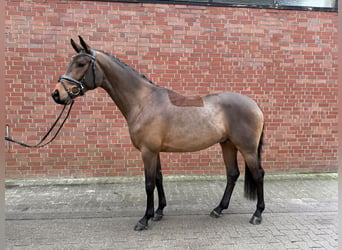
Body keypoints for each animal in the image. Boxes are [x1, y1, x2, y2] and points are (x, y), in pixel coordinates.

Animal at [51, 36, 264, 231]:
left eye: (81, 63)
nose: (57, 94)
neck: (143, 101)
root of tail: (255, 104)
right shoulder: (155, 151)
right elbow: (159, 179)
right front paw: (159, 212)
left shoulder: (148, 151)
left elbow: (149, 183)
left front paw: (144, 219)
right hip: (227, 144)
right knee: (232, 174)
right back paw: (219, 209)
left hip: (247, 149)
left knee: (258, 174)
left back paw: (257, 214)